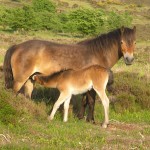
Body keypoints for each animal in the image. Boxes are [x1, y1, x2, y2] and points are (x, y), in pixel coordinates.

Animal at [3, 26, 136, 121]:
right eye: (122, 42)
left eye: (134, 42)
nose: (129, 59)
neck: (98, 53)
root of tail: (17, 46)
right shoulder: (93, 86)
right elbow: (91, 101)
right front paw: (91, 120)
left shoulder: (84, 85)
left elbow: (84, 101)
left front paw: (80, 117)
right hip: (20, 79)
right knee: (14, 93)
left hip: (31, 78)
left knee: (27, 95)